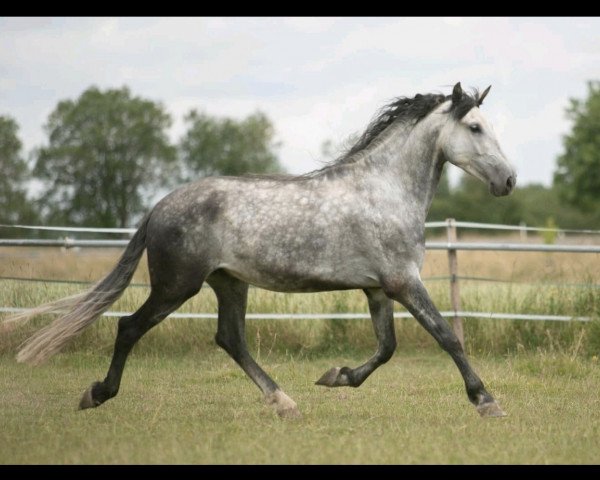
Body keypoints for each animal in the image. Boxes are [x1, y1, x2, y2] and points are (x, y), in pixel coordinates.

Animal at [5, 83, 516, 420]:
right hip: (177, 286)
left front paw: (335, 376)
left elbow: (387, 348)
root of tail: (157, 208)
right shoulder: (404, 283)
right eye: (475, 127)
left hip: (229, 283)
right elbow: (447, 337)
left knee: (230, 339)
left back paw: (284, 401)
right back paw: (96, 394)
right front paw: (486, 401)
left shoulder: (378, 289)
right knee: (130, 327)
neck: (384, 191)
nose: (508, 180)